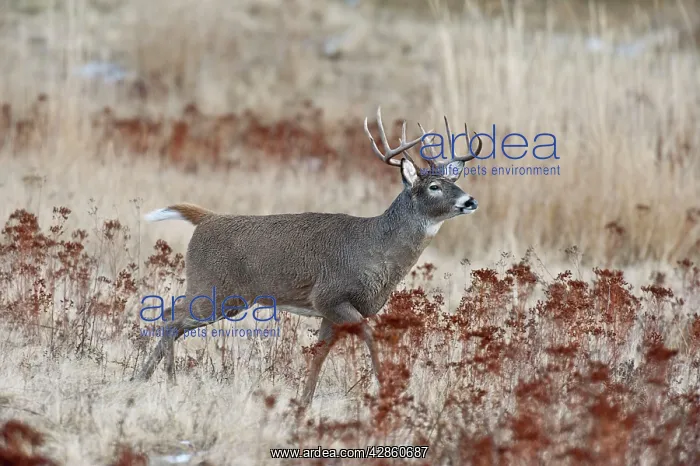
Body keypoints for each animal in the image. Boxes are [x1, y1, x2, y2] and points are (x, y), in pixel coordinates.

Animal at [134, 107, 483, 407]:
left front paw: (304, 402)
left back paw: (142, 376)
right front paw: (385, 389)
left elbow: (319, 354)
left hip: (222, 295)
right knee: (170, 316)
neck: (375, 250)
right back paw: (168, 381)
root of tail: (206, 218)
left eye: (455, 181)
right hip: (215, 288)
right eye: (434, 186)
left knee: (172, 317)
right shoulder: (330, 295)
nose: (470, 201)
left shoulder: (331, 310)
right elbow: (369, 337)